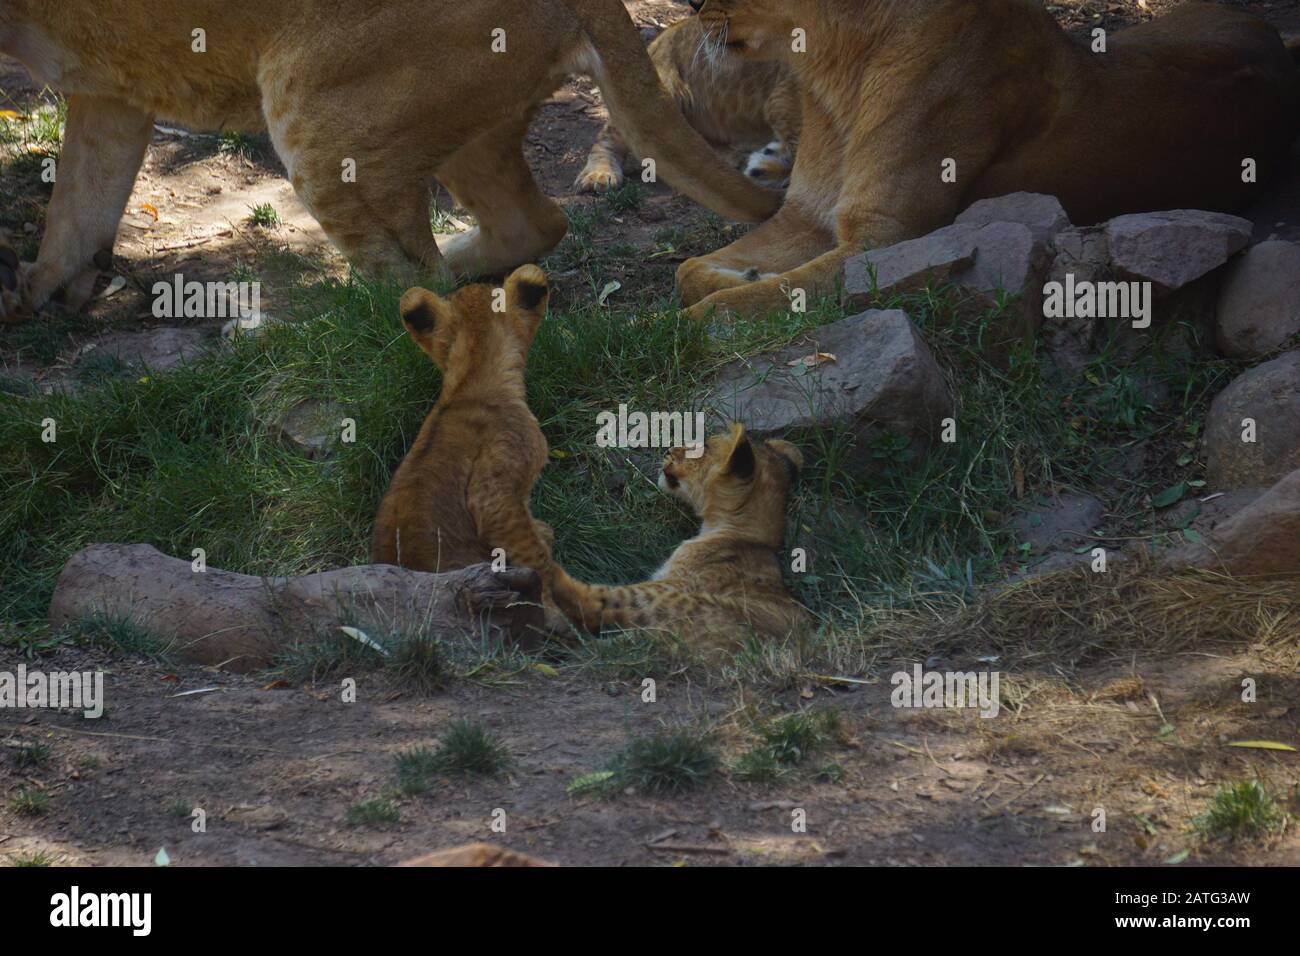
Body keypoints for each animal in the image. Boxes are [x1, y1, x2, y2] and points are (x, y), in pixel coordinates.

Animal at [0, 0, 780, 323]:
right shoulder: (107, 89)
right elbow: (81, 200)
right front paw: (42, 290)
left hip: (313, 109)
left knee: (411, 288)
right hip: (468, 125)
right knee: (535, 223)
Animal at [676, 0, 1300, 321]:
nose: (692, 4)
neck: (835, 66)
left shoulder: (888, 242)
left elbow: (730, 307)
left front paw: (700, 317)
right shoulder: (806, 216)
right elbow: (688, 271)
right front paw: (738, 273)